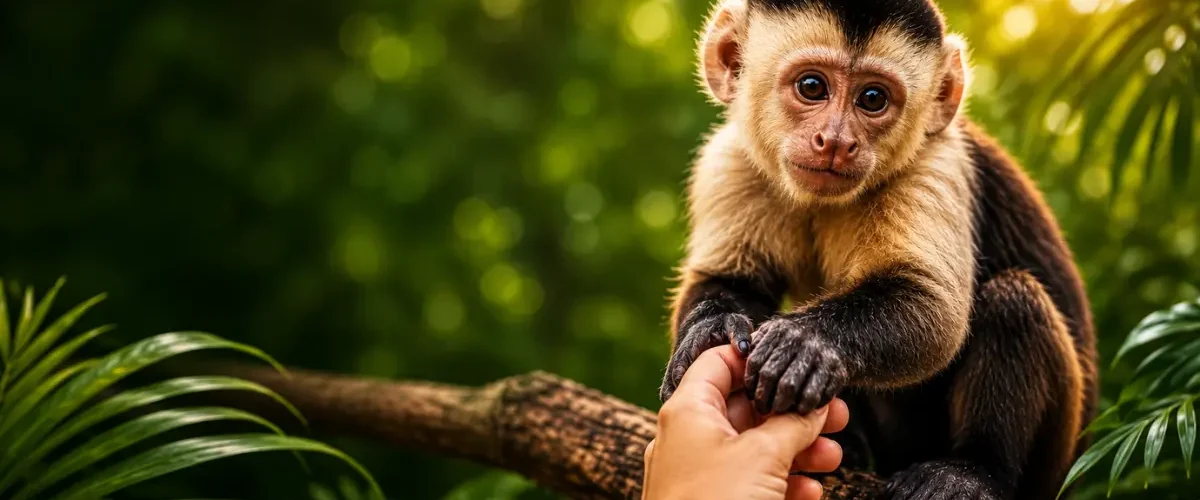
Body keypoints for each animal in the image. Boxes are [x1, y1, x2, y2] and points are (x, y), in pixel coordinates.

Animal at [656, 1, 1098, 499]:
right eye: (812, 87)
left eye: (872, 98)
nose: (836, 141)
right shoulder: (731, 160)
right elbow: (729, 279)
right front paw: (709, 329)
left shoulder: (937, 162)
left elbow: (933, 308)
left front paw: (808, 343)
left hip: (1053, 464)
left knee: (1014, 299)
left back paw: (973, 469)